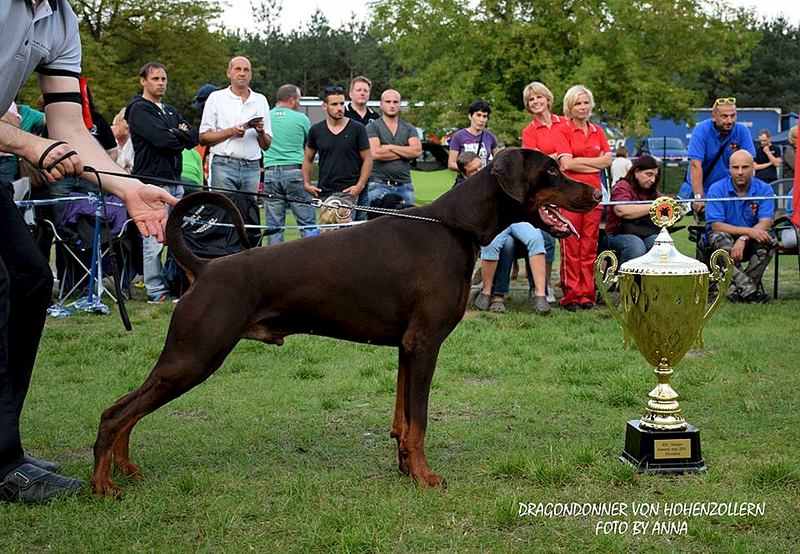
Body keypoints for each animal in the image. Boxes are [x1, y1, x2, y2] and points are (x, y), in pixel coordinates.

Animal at [90, 146, 600, 492]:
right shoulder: (425, 344)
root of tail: (207, 267)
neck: (455, 228)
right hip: (196, 354)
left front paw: (404, 468)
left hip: (189, 357)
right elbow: (419, 422)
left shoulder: (407, 348)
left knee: (126, 408)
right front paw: (424, 476)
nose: (595, 193)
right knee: (116, 413)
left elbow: (402, 421)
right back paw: (103, 485)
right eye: (551, 169)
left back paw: (125, 469)